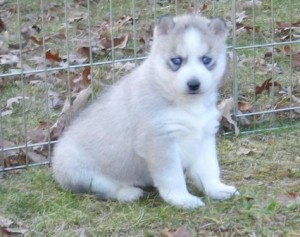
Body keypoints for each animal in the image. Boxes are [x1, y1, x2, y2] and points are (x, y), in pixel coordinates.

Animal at [52, 14, 238, 209]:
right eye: (176, 61)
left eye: (206, 60)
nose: (194, 84)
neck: (188, 105)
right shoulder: (159, 142)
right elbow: (173, 177)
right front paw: (182, 199)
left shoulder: (203, 136)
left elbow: (209, 169)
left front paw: (217, 189)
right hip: (83, 173)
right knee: (105, 188)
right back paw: (128, 193)